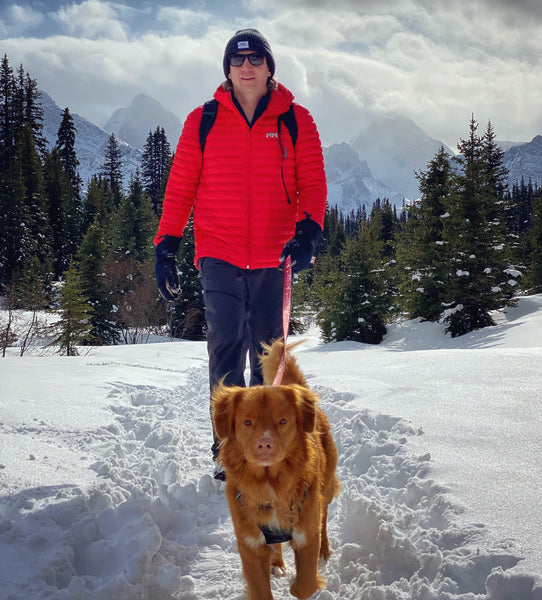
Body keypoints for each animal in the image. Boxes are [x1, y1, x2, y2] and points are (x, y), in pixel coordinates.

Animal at [212, 340, 340, 596]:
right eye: (247, 422)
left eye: (283, 421)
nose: (265, 443)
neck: (270, 482)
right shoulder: (250, 545)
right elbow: (261, 589)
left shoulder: (306, 535)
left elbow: (304, 587)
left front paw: (298, 586)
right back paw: (278, 563)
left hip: (326, 487)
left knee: (323, 516)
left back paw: (324, 550)